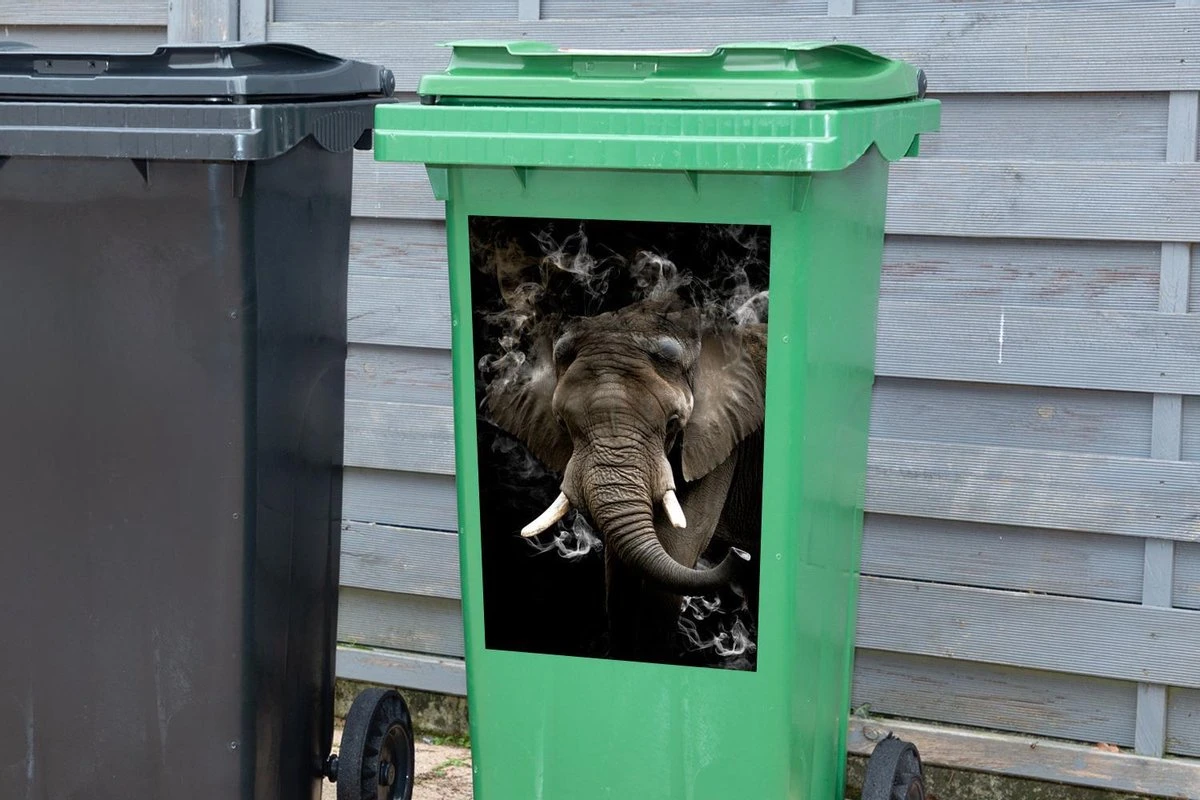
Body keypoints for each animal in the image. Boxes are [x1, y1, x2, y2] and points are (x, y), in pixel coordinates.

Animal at [482, 291, 767, 664]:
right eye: (562, 424)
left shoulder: (719, 441)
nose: (737, 554)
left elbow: (677, 547)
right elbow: (621, 569)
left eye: (674, 423)